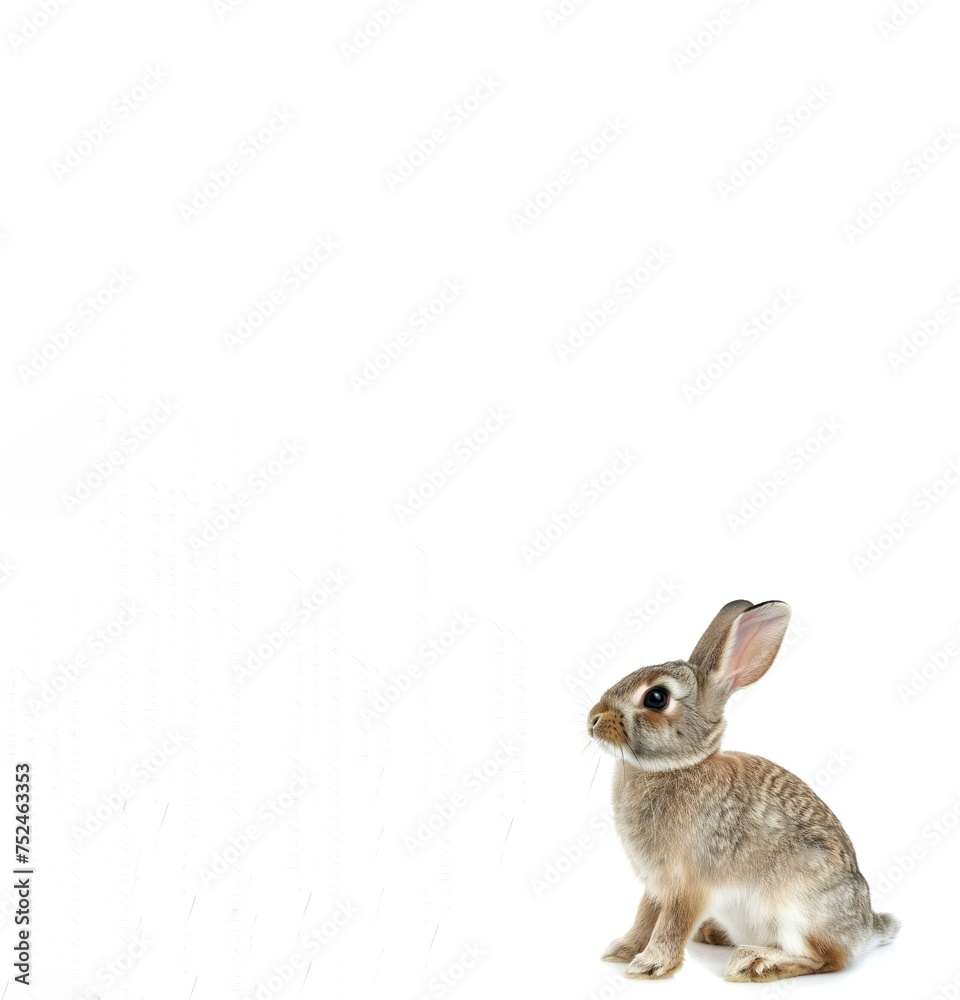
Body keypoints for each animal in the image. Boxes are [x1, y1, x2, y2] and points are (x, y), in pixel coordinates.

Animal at [587, 599, 899, 982]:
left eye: (656, 698)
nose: (593, 719)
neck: (677, 766)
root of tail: (864, 931)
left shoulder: (688, 885)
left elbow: (672, 923)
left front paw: (651, 964)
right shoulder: (656, 885)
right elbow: (645, 915)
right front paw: (622, 950)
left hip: (798, 906)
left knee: (826, 958)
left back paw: (755, 962)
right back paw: (714, 935)